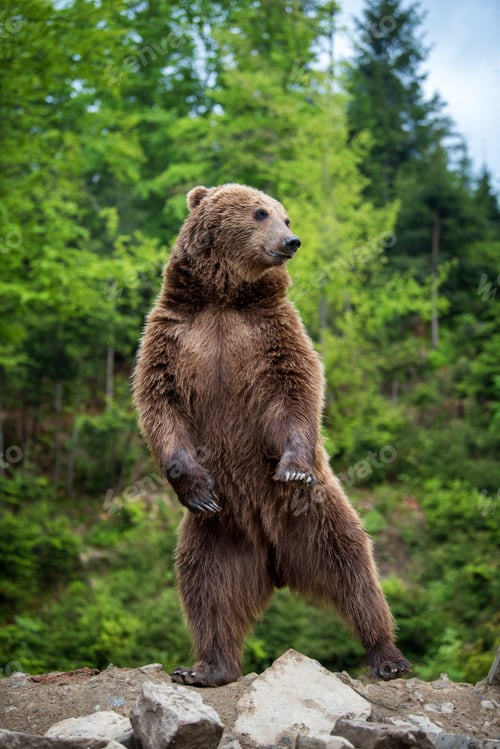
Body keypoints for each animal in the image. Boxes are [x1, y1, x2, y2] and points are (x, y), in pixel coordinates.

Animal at [132, 183, 411, 687]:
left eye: (286, 215)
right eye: (261, 213)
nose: (291, 241)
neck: (224, 298)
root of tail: (275, 559)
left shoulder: (271, 332)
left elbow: (296, 387)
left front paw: (294, 468)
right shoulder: (174, 333)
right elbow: (159, 399)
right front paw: (193, 484)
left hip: (315, 515)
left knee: (353, 569)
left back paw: (387, 655)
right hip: (220, 531)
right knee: (206, 586)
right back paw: (207, 667)